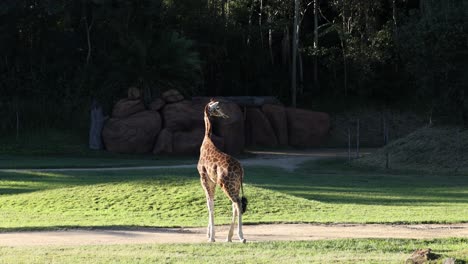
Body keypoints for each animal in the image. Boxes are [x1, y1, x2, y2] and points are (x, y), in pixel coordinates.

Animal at [197, 99, 249, 243]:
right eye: (217, 108)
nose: (226, 115)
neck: (206, 140)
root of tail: (240, 169)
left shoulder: (204, 178)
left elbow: (210, 204)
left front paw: (211, 237)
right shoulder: (212, 181)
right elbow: (211, 202)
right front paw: (209, 234)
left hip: (227, 185)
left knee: (237, 203)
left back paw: (240, 236)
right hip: (235, 185)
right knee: (236, 205)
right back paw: (229, 237)